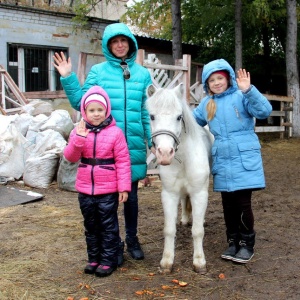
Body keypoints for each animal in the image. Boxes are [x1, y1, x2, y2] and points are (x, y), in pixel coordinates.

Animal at [146, 83, 212, 274]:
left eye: (179, 117)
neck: (184, 159)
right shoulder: (169, 194)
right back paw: (184, 219)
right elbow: (169, 229)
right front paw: (167, 261)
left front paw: (199, 262)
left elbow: (198, 230)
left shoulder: (199, 194)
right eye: (152, 116)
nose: (165, 153)